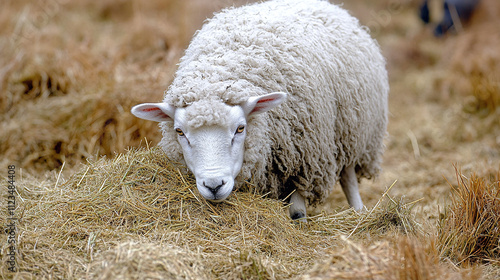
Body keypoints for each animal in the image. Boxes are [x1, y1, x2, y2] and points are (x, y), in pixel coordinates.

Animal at [131, 0, 388, 220]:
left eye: (240, 129)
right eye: (180, 132)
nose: (214, 186)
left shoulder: (304, 159)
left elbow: (298, 211)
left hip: (352, 131)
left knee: (349, 177)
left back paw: (359, 211)